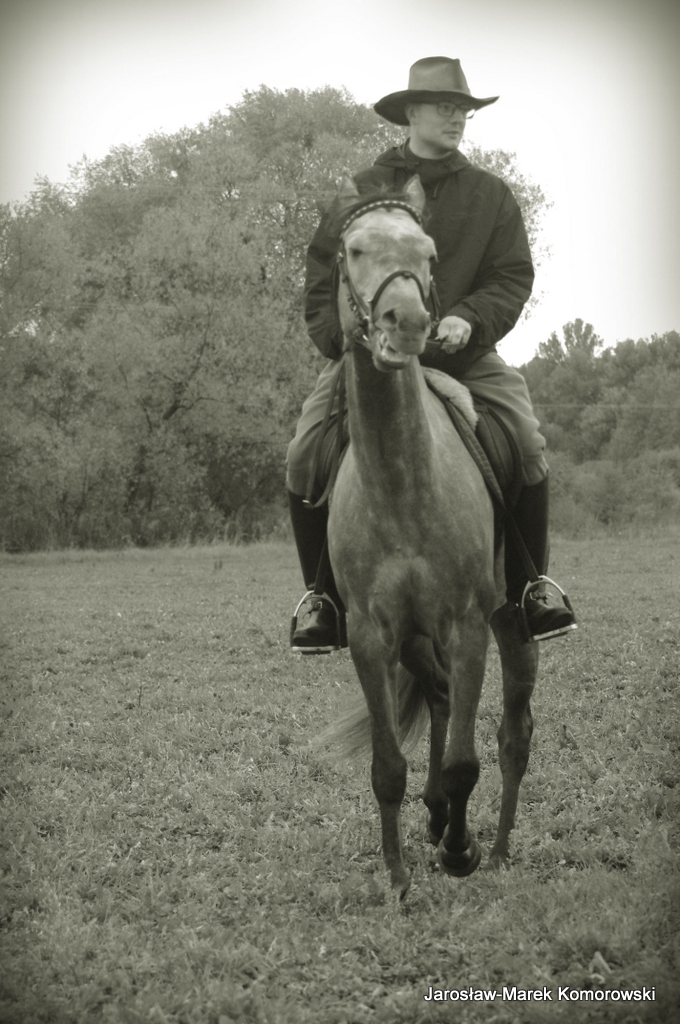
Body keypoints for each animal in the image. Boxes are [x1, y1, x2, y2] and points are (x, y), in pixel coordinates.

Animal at [325, 174, 539, 897]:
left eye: (428, 253)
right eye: (353, 250)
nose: (410, 323)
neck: (402, 485)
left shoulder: (469, 626)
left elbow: (467, 761)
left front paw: (459, 853)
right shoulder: (371, 635)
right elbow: (389, 765)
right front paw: (396, 877)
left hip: (513, 625)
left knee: (513, 737)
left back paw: (493, 849)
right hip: (417, 644)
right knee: (444, 701)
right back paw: (440, 818)